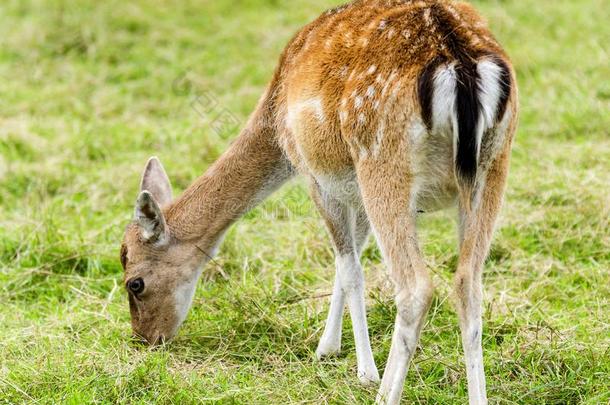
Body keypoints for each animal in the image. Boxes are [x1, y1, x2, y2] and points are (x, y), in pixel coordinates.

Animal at [120, 1, 516, 402]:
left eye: (134, 283)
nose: (146, 338)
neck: (274, 112)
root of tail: (460, 67)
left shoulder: (314, 175)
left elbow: (350, 268)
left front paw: (364, 371)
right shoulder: (353, 192)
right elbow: (348, 260)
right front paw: (327, 347)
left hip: (381, 163)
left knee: (416, 287)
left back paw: (383, 393)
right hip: (493, 167)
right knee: (468, 283)